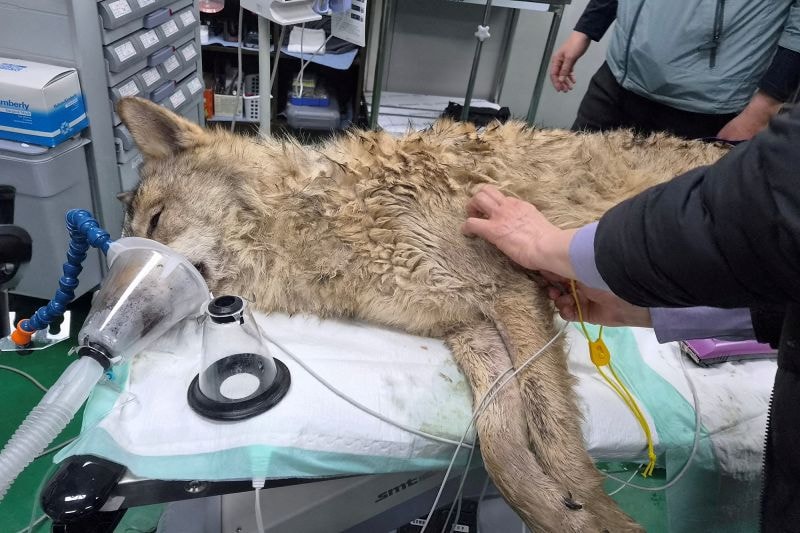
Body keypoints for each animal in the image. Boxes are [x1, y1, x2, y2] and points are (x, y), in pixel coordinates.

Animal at [117, 97, 728, 532]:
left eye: (157, 221)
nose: (109, 323)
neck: (320, 218)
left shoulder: (510, 292)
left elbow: (554, 436)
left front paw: (600, 515)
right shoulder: (469, 328)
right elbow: (502, 446)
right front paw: (559, 512)